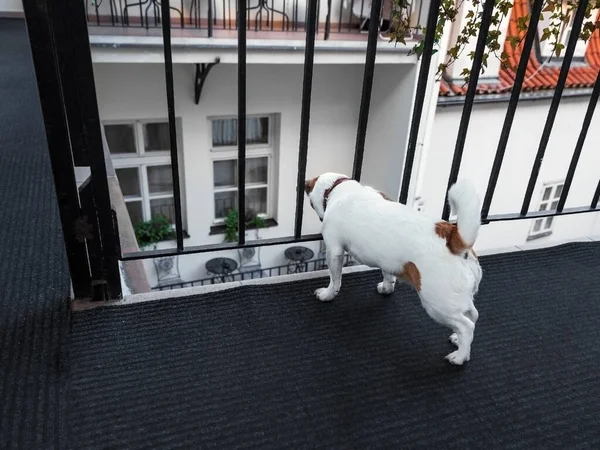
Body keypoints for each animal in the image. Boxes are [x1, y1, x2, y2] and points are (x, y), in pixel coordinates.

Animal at [304, 172, 482, 366]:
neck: (339, 187)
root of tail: (453, 238)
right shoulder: (386, 260)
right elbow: (387, 275)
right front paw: (387, 288)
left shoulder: (334, 251)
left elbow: (335, 280)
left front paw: (327, 294)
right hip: (458, 299)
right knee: (473, 315)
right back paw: (458, 340)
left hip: (438, 305)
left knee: (466, 326)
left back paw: (460, 356)